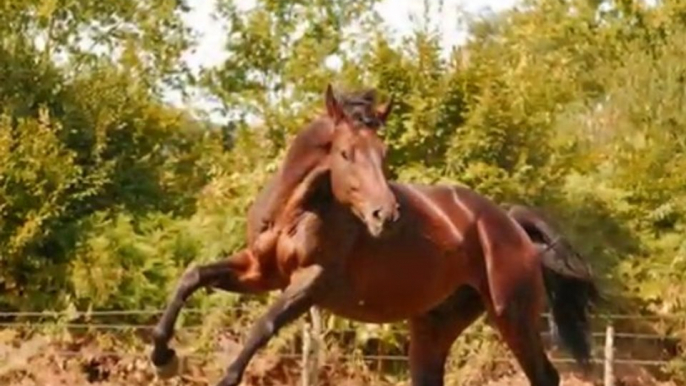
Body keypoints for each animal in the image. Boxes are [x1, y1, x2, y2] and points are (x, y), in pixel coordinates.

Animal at [149, 86, 596, 386]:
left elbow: (263, 325)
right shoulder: (259, 271)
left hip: (512, 316)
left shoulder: (311, 281)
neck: (295, 212)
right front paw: (163, 356)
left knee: (546, 376)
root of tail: (509, 224)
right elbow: (192, 277)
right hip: (435, 325)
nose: (386, 214)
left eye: (383, 154)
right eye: (346, 153)